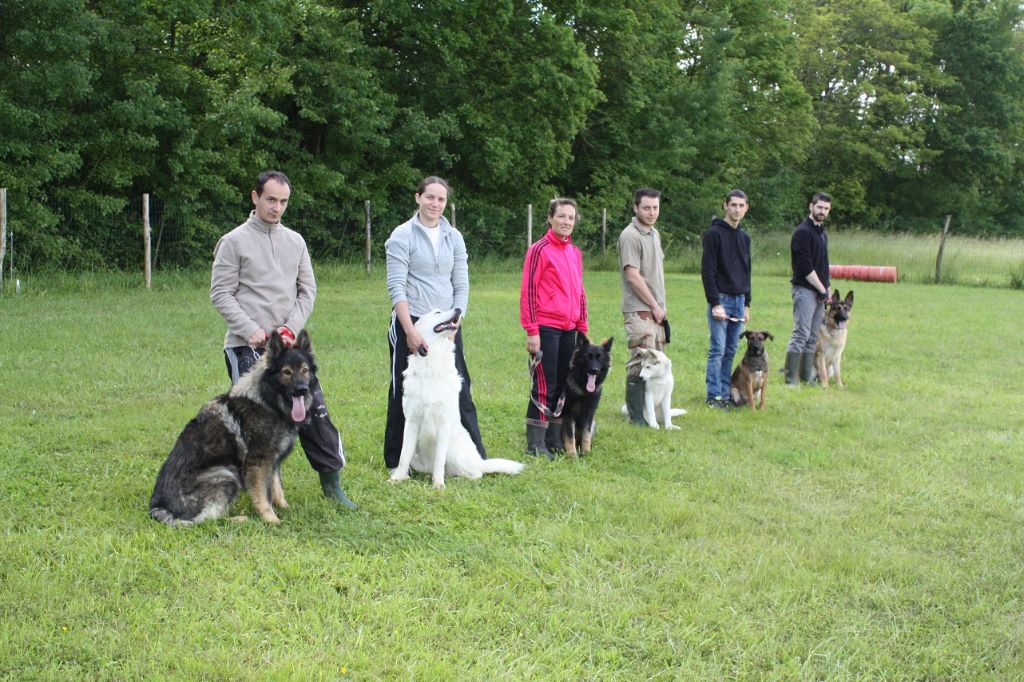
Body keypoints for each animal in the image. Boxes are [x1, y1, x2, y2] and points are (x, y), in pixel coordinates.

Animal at [148, 329, 315, 524]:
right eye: (286, 372)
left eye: (305, 370)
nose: (302, 389)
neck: (269, 402)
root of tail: (158, 507)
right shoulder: (259, 463)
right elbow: (263, 495)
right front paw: (271, 519)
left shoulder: (273, 461)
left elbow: (277, 488)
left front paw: (285, 508)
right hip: (227, 473)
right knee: (209, 520)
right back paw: (240, 519)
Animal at [387, 307, 524, 489]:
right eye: (437, 312)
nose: (458, 309)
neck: (433, 363)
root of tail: (479, 461)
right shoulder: (412, 421)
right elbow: (403, 456)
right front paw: (397, 479)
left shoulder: (443, 423)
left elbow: (439, 461)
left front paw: (438, 485)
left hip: (454, 451)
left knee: (475, 473)